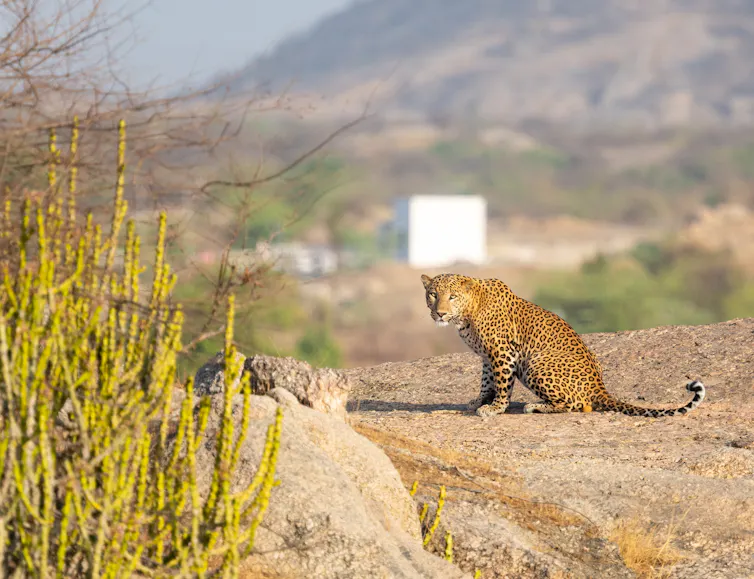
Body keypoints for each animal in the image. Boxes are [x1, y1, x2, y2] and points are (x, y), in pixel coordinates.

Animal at [421, 273, 706, 418]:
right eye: (433, 294)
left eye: (452, 296)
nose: (440, 313)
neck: (468, 312)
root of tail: (600, 387)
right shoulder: (487, 357)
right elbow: (487, 381)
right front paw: (479, 401)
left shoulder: (502, 353)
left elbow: (501, 384)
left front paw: (495, 408)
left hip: (536, 365)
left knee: (578, 404)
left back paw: (535, 406)